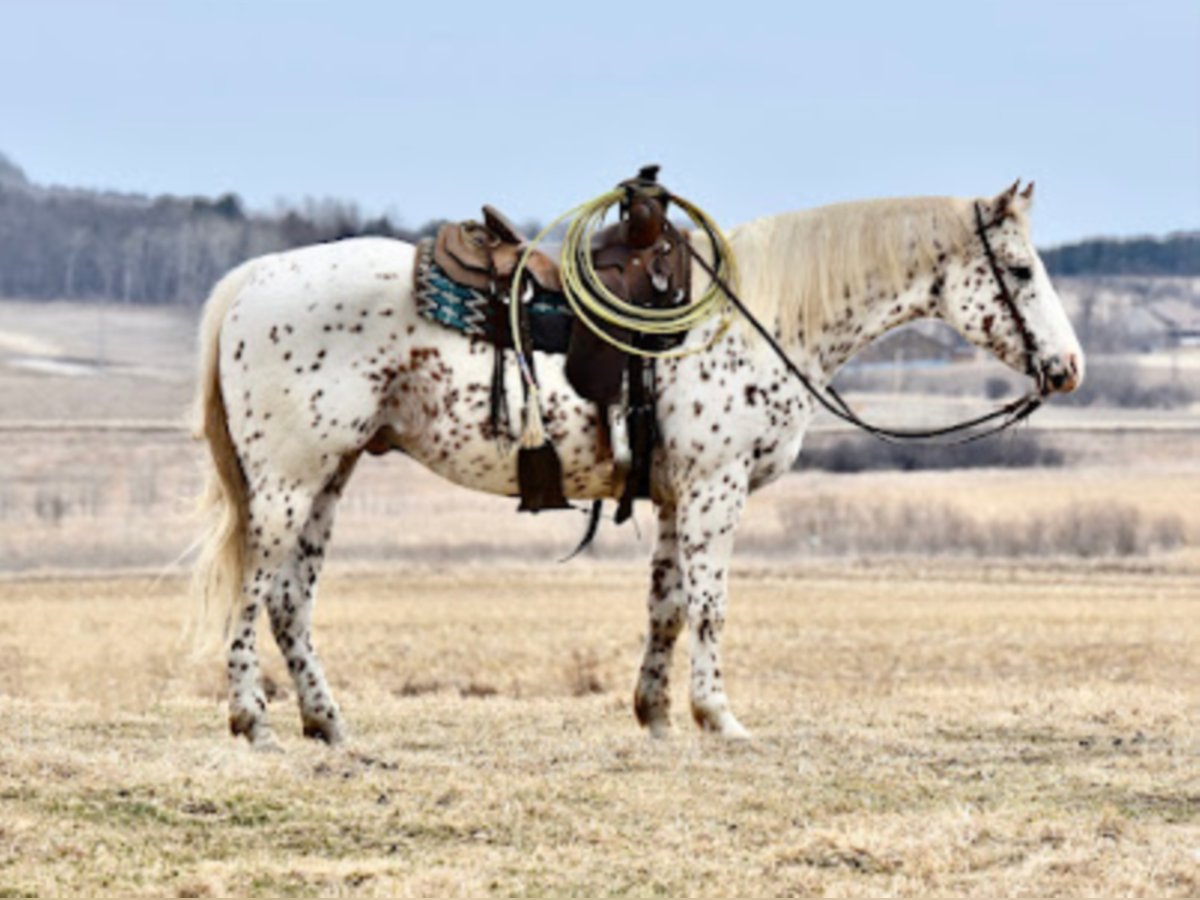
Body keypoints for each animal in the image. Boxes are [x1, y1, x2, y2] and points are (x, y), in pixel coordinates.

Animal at [192, 180, 1084, 748]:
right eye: (1023, 269)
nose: (1068, 367)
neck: (753, 320)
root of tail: (257, 278)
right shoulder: (717, 490)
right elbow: (712, 606)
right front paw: (719, 718)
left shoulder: (675, 498)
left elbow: (666, 608)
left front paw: (655, 714)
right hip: (286, 484)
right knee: (255, 592)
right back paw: (253, 721)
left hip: (329, 477)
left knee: (292, 602)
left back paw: (328, 724)